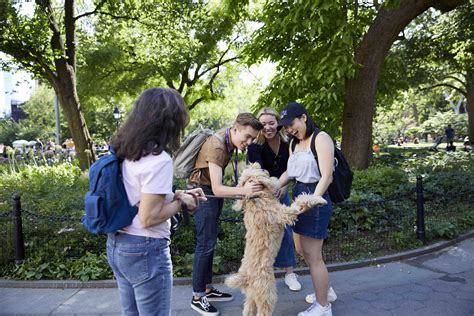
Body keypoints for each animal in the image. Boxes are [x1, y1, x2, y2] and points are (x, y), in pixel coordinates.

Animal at [226, 164, 326, 314]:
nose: (257, 164)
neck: (256, 198)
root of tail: (246, 278)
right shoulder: (285, 214)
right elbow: (301, 200)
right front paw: (318, 199)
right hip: (267, 294)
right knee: (263, 311)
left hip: (251, 297)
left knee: (248, 310)